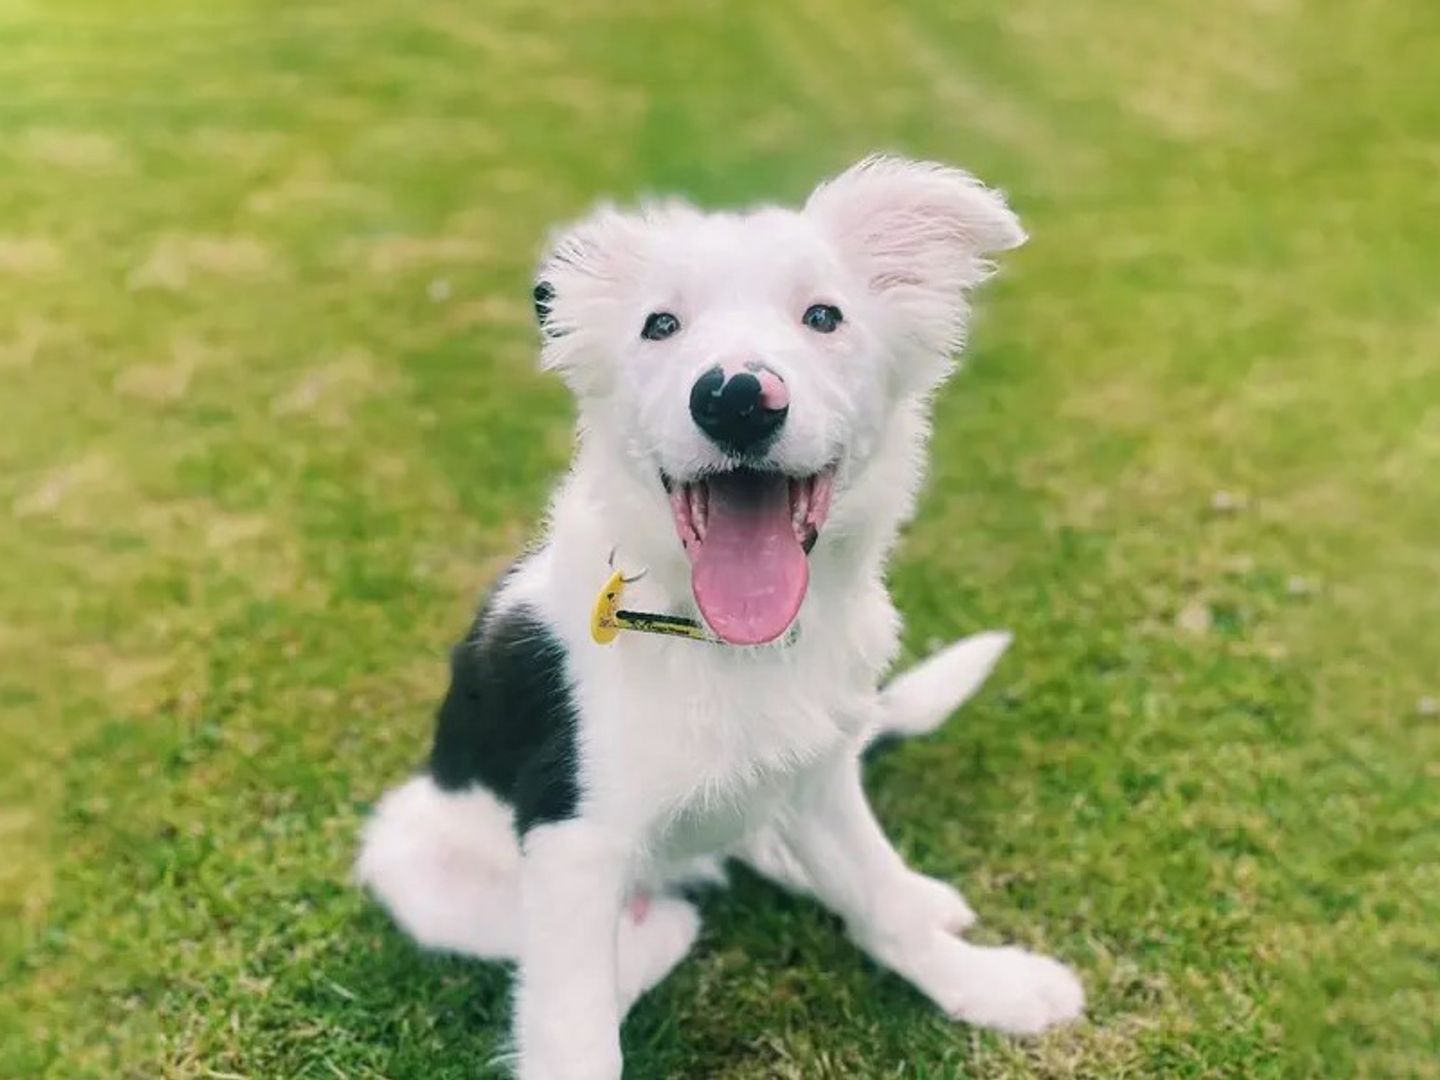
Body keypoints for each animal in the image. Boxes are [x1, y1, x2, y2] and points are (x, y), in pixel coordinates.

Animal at [357, 156, 1082, 1077]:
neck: (717, 638)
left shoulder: (821, 773)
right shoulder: (572, 843)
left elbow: (878, 899)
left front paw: (988, 987)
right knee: (656, 931)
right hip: (418, 857)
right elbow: (574, 1030)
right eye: (659, 325)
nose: (736, 397)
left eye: (823, 316)